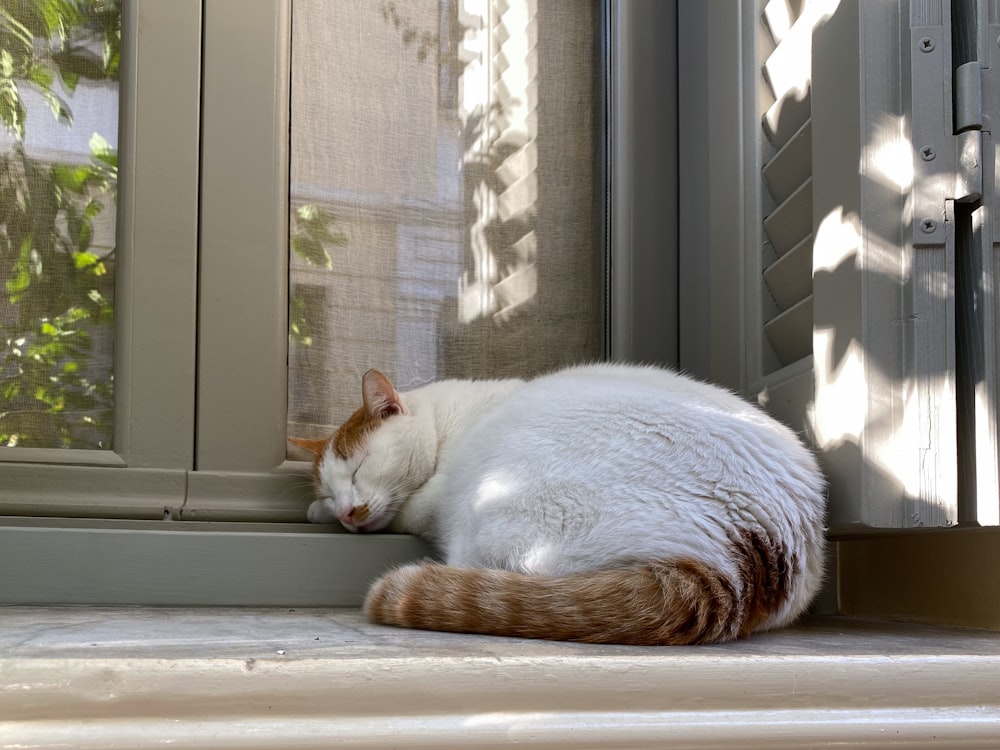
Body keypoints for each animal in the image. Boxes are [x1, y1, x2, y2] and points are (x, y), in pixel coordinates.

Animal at [292, 364, 828, 648]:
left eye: (359, 467)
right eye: (330, 490)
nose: (347, 512)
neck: (450, 425)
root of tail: (741, 566)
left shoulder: (427, 497)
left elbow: (407, 507)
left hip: (495, 512)